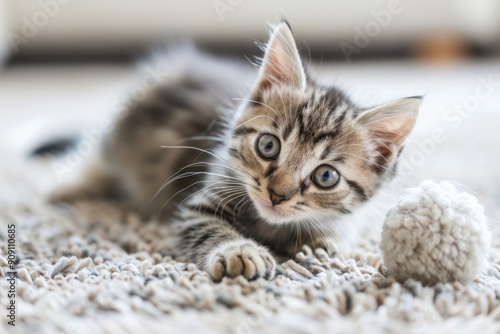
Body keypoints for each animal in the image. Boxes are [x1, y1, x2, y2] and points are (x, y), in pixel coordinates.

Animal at [52, 22, 422, 280]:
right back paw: (68, 185)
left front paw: (325, 242)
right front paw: (239, 252)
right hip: (123, 128)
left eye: (326, 176)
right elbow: (208, 227)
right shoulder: (199, 204)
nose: (277, 195)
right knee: (98, 158)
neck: (267, 223)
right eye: (268, 146)